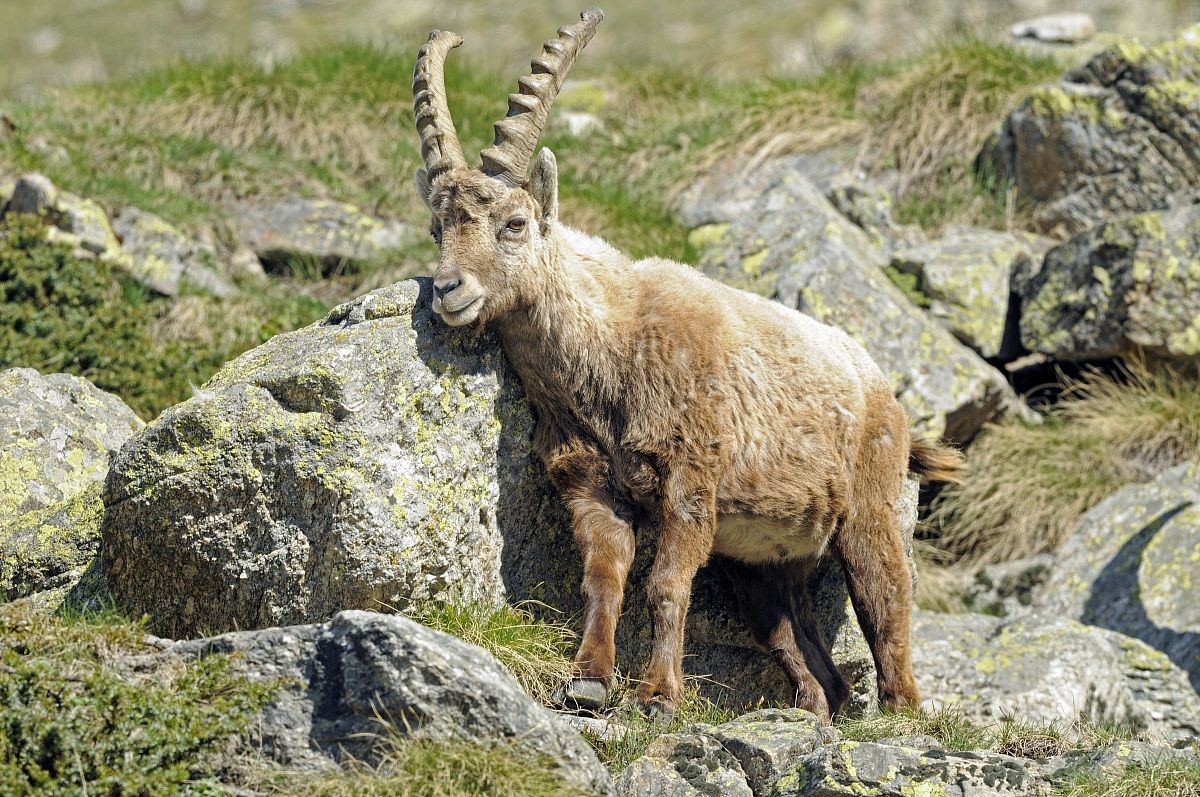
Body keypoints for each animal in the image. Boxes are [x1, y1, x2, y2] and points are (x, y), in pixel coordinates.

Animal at [411, 9, 963, 721]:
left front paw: (656, 694)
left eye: (513, 223)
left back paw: (898, 715)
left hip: (867, 504)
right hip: (760, 560)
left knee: (887, 605)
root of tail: (884, 392)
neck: (614, 350)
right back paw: (813, 710)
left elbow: (667, 583)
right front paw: (588, 681)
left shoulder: (691, 478)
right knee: (797, 643)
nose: (448, 289)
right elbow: (605, 575)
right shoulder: (589, 480)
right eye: (438, 228)